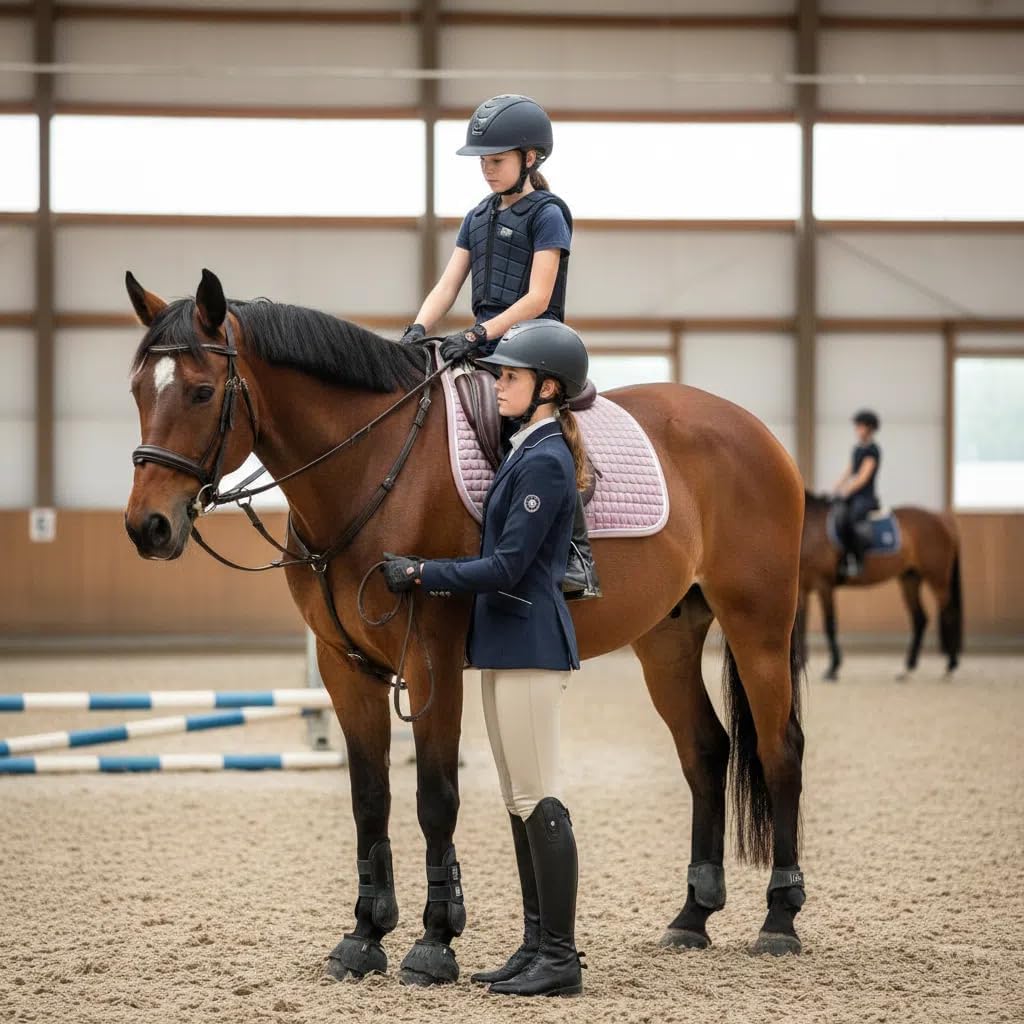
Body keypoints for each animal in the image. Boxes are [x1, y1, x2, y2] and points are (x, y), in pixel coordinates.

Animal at [123, 268, 809, 984]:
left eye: (202, 391)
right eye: (138, 389)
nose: (148, 528)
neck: (371, 468)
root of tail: (754, 430)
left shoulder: (431, 660)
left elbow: (435, 795)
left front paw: (434, 941)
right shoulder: (346, 668)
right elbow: (370, 799)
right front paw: (364, 936)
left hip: (757, 626)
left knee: (779, 751)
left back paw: (779, 919)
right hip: (666, 639)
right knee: (705, 750)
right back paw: (692, 917)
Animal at [799, 492, 962, 682]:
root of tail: (941, 519)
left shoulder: (824, 585)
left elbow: (829, 625)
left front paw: (833, 668)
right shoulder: (802, 588)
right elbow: (801, 626)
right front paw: (799, 665)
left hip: (937, 579)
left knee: (949, 614)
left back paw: (950, 666)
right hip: (910, 578)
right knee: (920, 619)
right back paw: (907, 668)